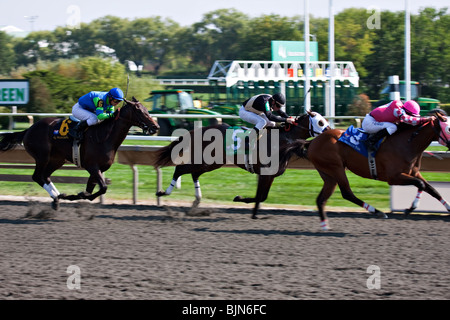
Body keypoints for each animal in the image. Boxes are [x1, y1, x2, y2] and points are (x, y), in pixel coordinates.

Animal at [0, 97, 159, 210]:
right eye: (139, 111)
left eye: (146, 109)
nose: (156, 127)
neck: (104, 137)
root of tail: (29, 130)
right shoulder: (92, 167)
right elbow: (103, 188)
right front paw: (73, 195)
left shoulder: (98, 170)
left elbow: (92, 192)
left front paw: (75, 195)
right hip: (42, 157)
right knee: (37, 176)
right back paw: (57, 197)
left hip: (57, 160)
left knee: (45, 176)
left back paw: (57, 197)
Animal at [155, 111, 330, 219]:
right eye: (320, 122)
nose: (330, 132)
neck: (282, 141)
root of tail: (200, 130)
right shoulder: (265, 173)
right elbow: (260, 196)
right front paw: (239, 199)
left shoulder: (270, 175)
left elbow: (262, 196)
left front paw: (253, 213)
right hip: (207, 160)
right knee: (180, 169)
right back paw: (164, 192)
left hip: (212, 162)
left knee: (194, 173)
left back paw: (197, 200)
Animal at [294, 110, 450, 230]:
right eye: (448, 128)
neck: (407, 143)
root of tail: (313, 141)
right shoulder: (394, 177)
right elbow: (421, 184)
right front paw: (410, 208)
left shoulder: (414, 172)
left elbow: (432, 189)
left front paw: (448, 208)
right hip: (336, 168)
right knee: (347, 193)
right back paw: (378, 212)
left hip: (328, 174)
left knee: (321, 199)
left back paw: (325, 225)